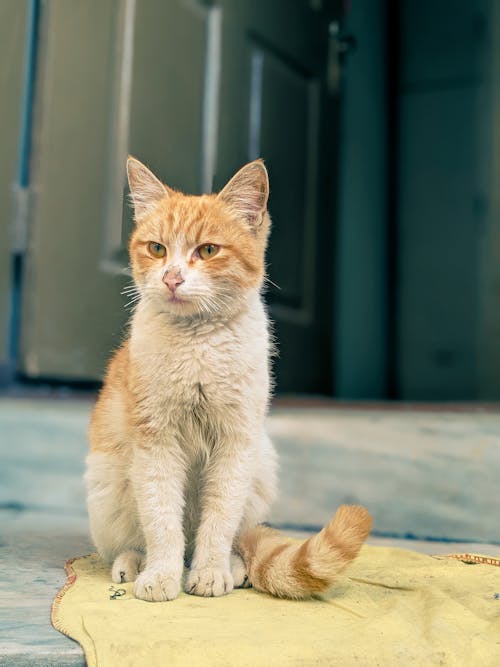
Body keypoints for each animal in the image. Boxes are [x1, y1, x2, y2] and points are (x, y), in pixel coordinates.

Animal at [86, 158, 372, 604]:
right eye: (157, 248)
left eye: (207, 250)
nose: (171, 278)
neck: (198, 346)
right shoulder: (156, 443)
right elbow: (162, 521)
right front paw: (161, 577)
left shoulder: (235, 444)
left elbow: (219, 520)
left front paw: (210, 573)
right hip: (107, 486)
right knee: (137, 540)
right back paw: (133, 565)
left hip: (260, 467)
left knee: (235, 538)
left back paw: (233, 568)